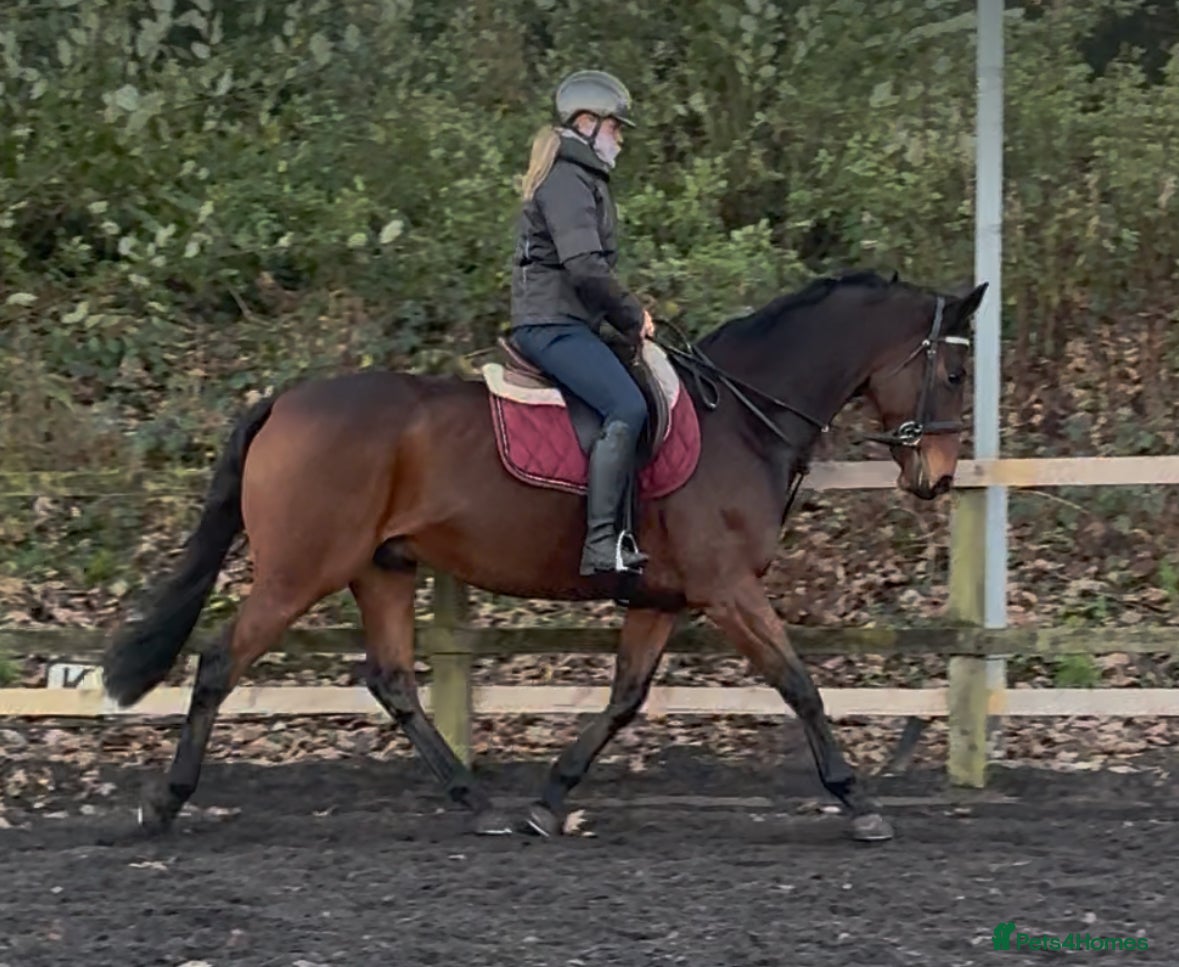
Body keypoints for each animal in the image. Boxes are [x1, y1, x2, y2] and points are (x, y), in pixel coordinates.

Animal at [101, 269, 986, 843]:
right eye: (952, 369)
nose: (938, 477)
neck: (738, 415)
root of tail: (285, 400)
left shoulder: (661, 598)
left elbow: (625, 696)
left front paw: (549, 797)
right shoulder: (727, 588)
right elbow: (797, 683)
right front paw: (857, 799)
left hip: (382, 567)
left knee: (392, 681)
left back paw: (478, 802)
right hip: (298, 571)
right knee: (220, 662)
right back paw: (164, 803)